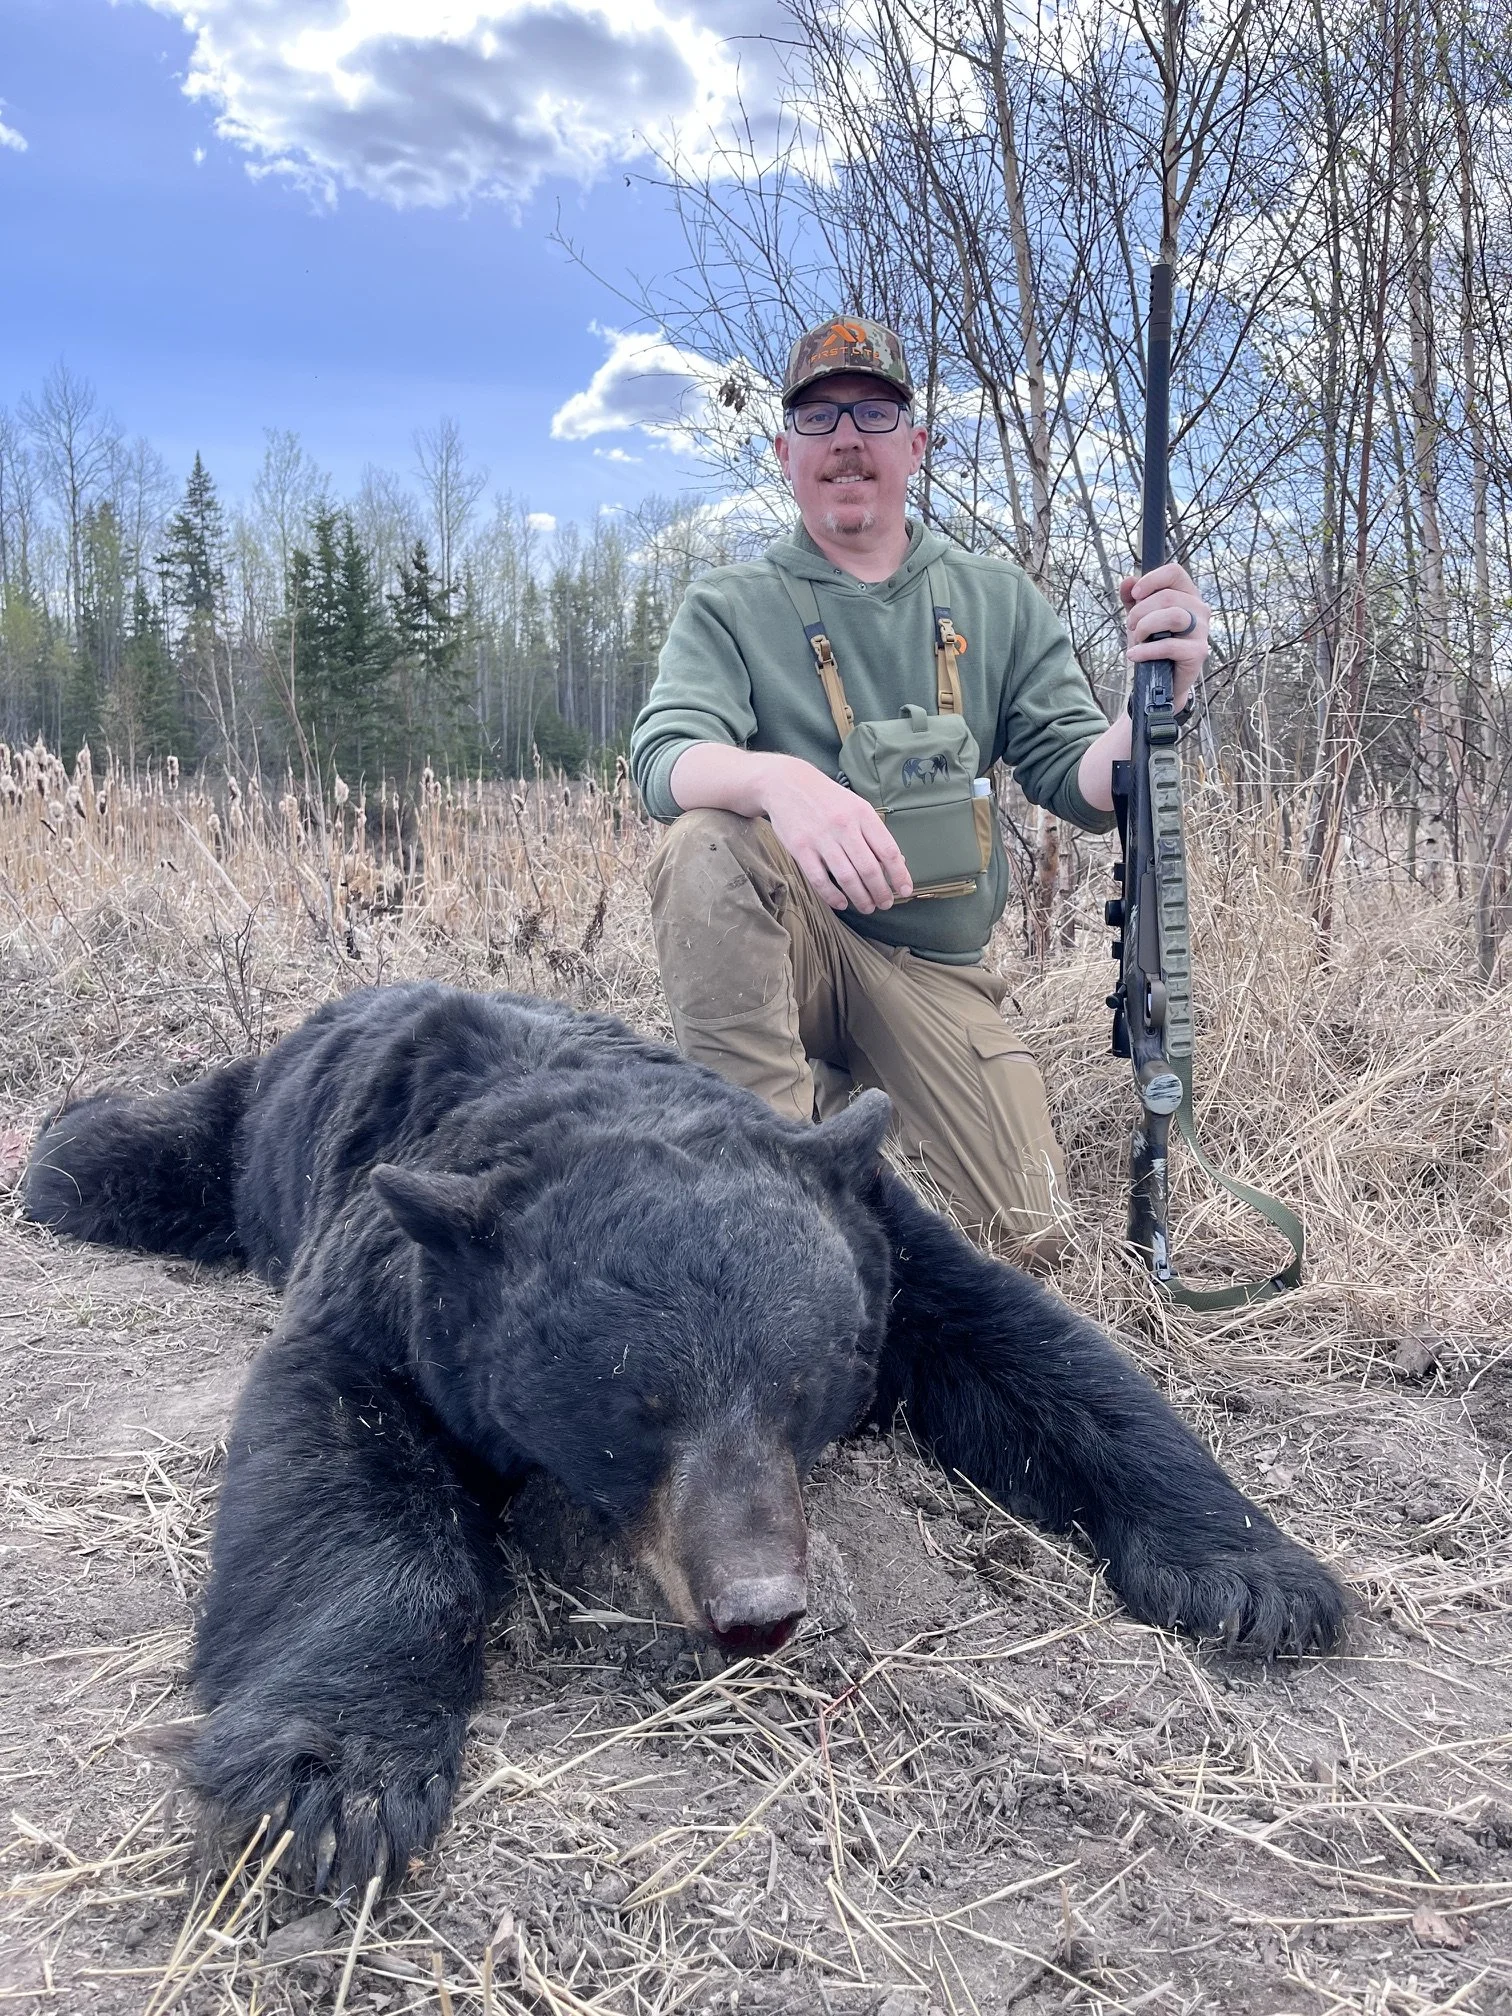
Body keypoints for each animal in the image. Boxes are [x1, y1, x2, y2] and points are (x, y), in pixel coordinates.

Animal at [22, 981, 1345, 1897]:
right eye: (630, 1418)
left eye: (802, 1390)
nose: (757, 1606)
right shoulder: (385, 1295)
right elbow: (338, 1468)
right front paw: (332, 1778)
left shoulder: (886, 1246)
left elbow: (1049, 1356)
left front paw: (1256, 1576)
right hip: (237, 1133)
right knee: (101, 1153)